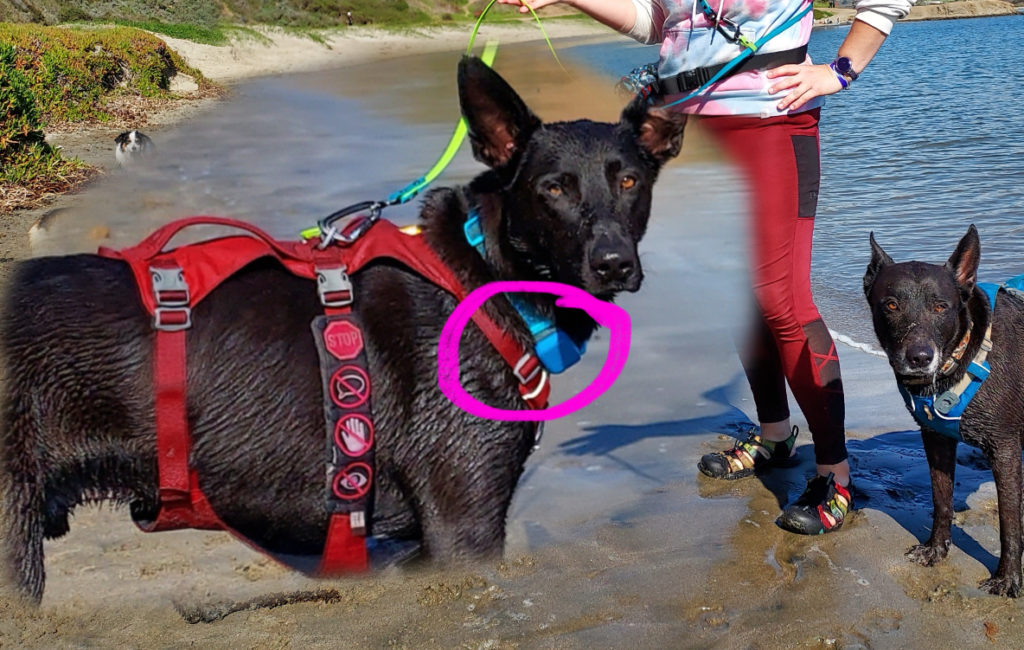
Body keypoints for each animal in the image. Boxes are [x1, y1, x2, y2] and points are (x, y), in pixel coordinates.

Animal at [864, 226, 1024, 597]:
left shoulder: (1006, 451)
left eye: (941, 307)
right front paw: (936, 549)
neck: (967, 353)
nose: (920, 357)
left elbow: (1009, 521)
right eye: (891, 305)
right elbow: (941, 501)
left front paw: (1008, 578)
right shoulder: (936, 439)